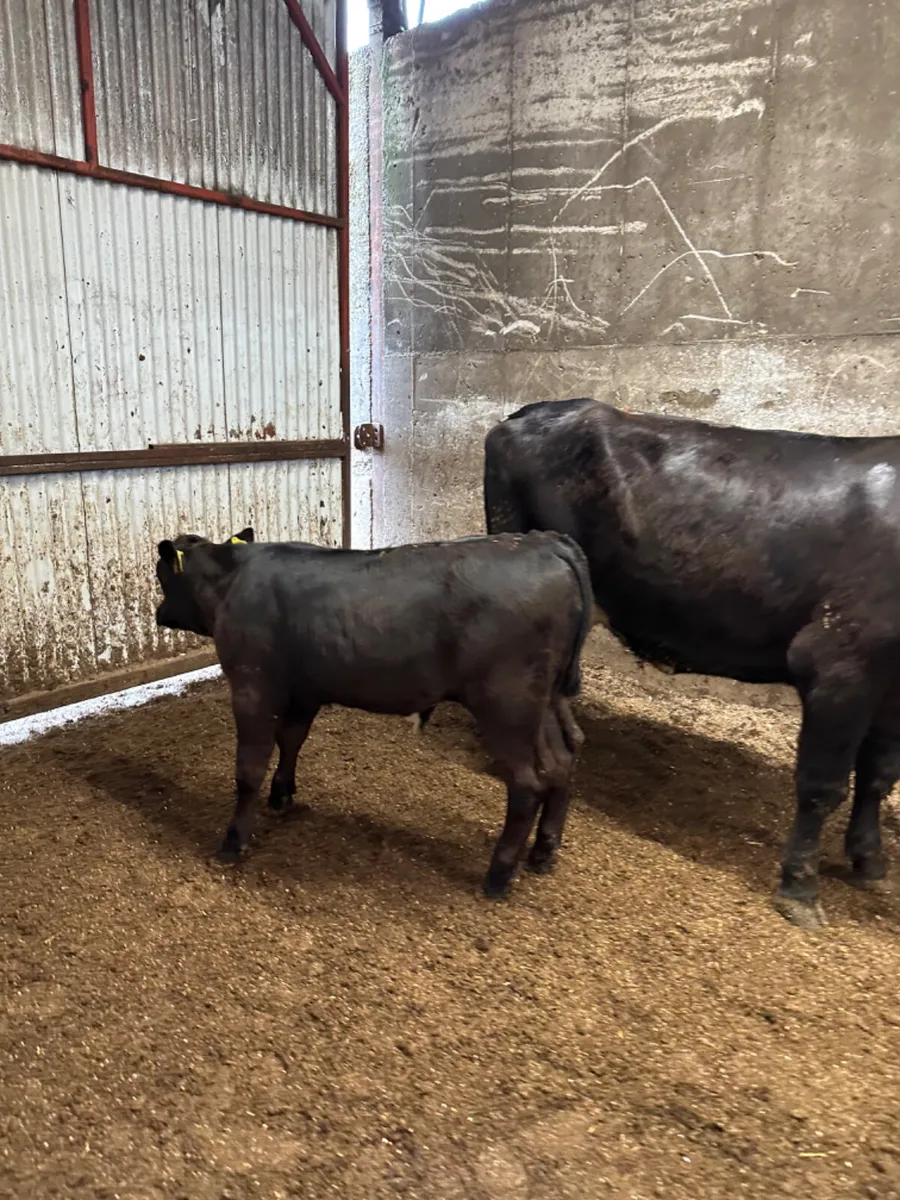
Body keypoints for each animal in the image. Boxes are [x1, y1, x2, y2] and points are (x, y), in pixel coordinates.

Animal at [154, 527, 592, 898]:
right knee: (563, 758)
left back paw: (498, 875)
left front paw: (232, 842)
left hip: (507, 705)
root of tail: (542, 541)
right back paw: (543, 851)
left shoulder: (251, 687)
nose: (158, 613)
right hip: (545, 701)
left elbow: (248, 770)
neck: (232, 579)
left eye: (162, 577)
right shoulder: (305, 690)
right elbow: (292, 740)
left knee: (527, 783)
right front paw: (281, 795)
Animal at [481, 396, 900, 928]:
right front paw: (800, 889)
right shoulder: (838, 660)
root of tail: (532, 411)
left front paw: (870, 863)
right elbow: (823, 785)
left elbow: (879, 775)